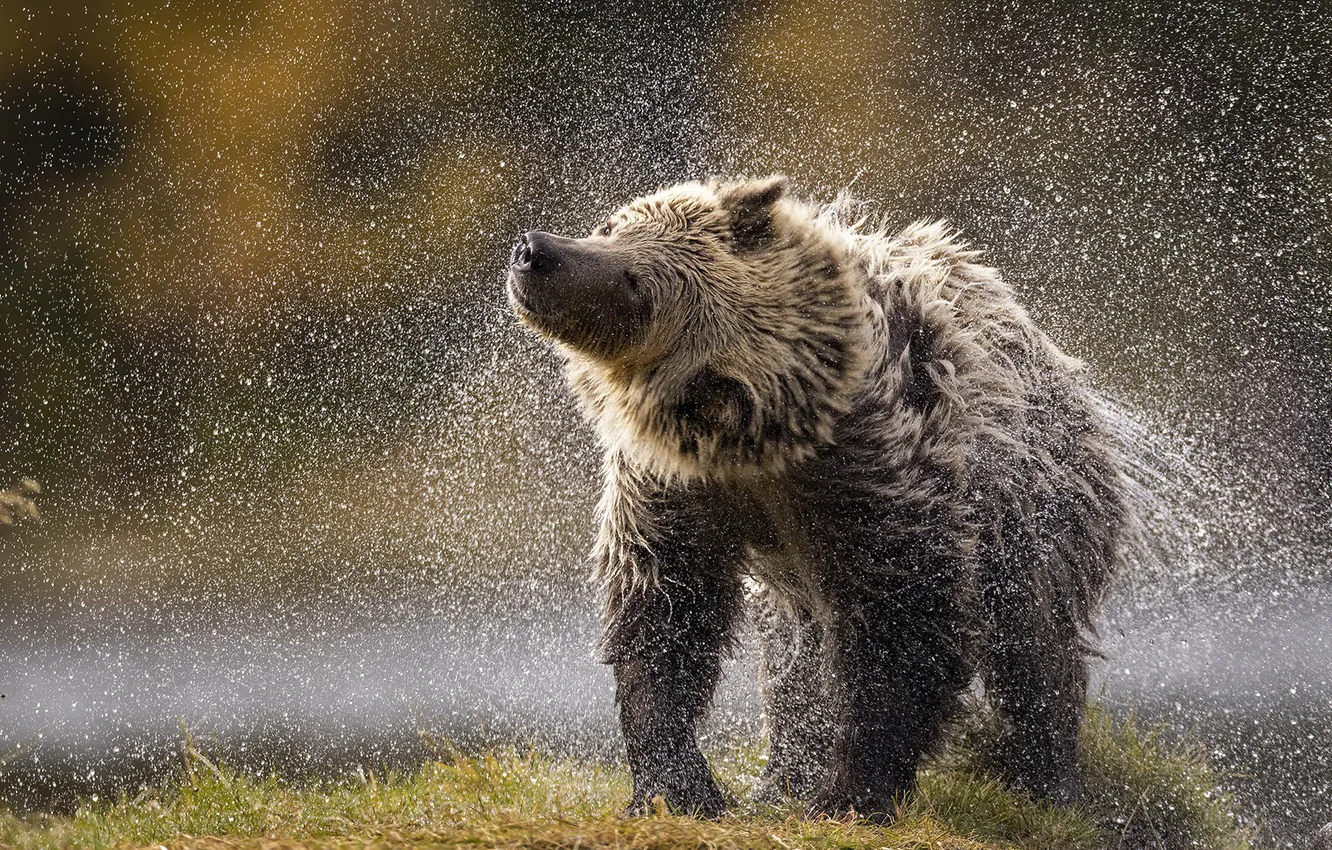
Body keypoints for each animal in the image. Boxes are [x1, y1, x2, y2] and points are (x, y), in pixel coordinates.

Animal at [506, 176, 1129, 819]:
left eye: (639, 287)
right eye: (610, 227)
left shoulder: (878, 478)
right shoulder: (674, 487)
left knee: (1033, 641)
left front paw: (850, 791)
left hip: (1036, 509)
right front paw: (678, 785)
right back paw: (782, 774)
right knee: (793, 664)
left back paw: (1048, 779)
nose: (536, 252)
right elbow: (665, 613)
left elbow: (903, 622)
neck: (756, 445)